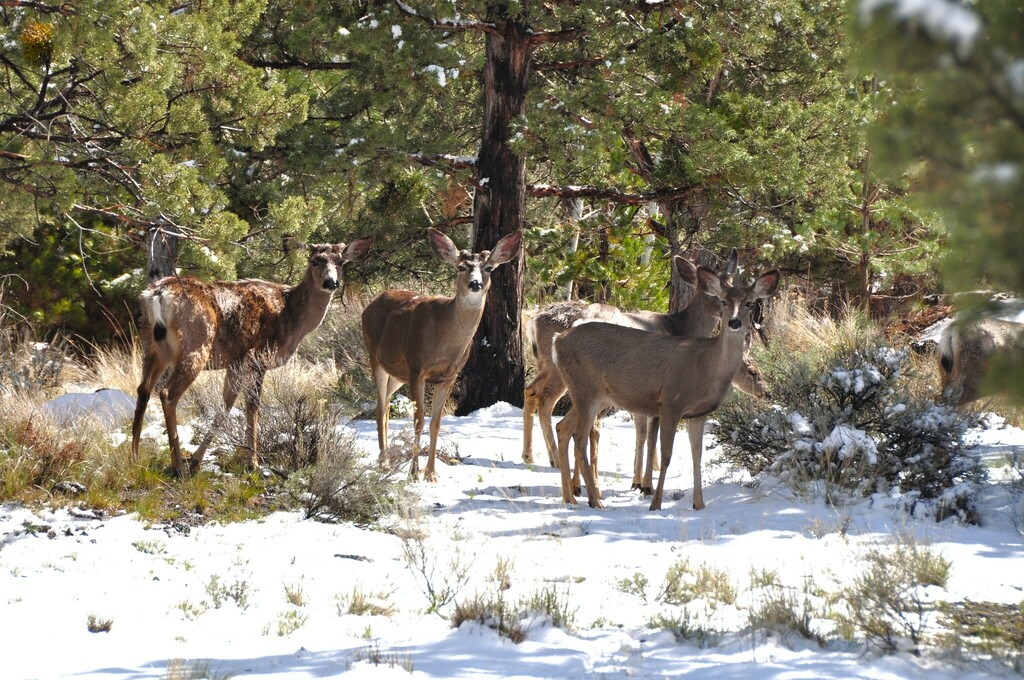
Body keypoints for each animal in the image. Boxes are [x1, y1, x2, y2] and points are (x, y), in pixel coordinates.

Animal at [130, 238, 374, 477]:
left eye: (340, 262)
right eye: (314, 261)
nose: (331, 282)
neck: (292, 316)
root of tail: (157, 294)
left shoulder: (235, 362)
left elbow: (226, 407)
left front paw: (197, 462)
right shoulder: (257, 357)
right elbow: (252, 407)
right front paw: (253, 464)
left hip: (152, 345)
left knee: (143, 390)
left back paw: (134, 456)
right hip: (196, 343)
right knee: (167, 393)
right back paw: (178, 466)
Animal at [362, 225, 524, 481]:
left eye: (488, 268)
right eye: (461, 267)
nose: (475, 284)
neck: (445, 342)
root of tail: (369, 305)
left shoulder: (449, 376)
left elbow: (436, 423)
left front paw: (431, 473)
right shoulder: (416, 367)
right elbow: (419, 420)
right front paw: (413, 472)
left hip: (397, 374)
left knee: (386, 407)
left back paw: (385, 459)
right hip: (374, 356)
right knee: (380, 409)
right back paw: (384, 463)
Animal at [557, 266, 778, 510]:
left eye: (749, 303)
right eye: (724, 301)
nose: (735, 322)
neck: (707, 366)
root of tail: (558, 340)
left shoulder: (698, 414)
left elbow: (697, 455)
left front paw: (699, 505)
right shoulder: (671, 402)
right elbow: (665, 454)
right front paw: (654, 502)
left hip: (593, 395)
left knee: (563, 427)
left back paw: (570, 498)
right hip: (585, 390)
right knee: (579, 439)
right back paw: (594, 500)